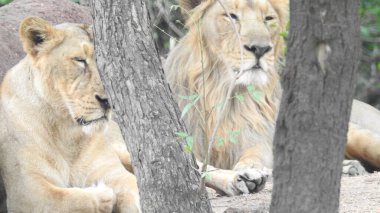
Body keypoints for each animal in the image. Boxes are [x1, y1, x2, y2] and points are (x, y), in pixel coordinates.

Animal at [0, 17, 140, 213]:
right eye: (80, 60)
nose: (109, 101)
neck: (66, 131)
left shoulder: (112, 171)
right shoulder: (24, 190)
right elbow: (64, 199)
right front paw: (103, 195)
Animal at [165, 0, 380, 196]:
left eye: (268, 18)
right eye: (231, 16)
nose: (260, 49)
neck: (222, 90)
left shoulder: (257, 135)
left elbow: (253, 156)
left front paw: (249, 170)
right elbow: (201, 167)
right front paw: (239, 179)